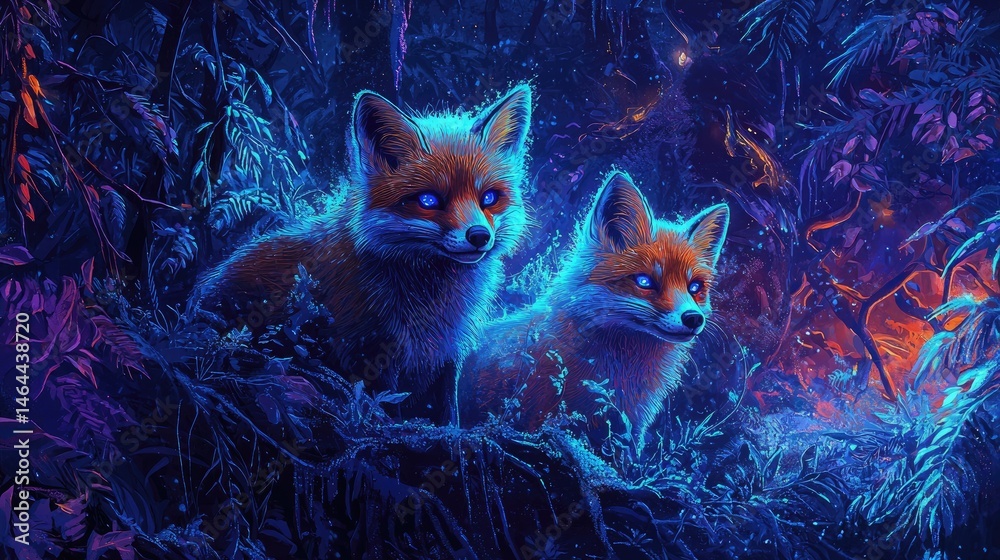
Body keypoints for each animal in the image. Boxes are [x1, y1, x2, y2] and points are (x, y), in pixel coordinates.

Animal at [194, 85, 532, 425]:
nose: (479, 236)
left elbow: (448, 415)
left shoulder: (444, 356)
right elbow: (386, 411)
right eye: (429, 200)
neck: (430, 304)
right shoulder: (367, 352)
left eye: (488, 198)